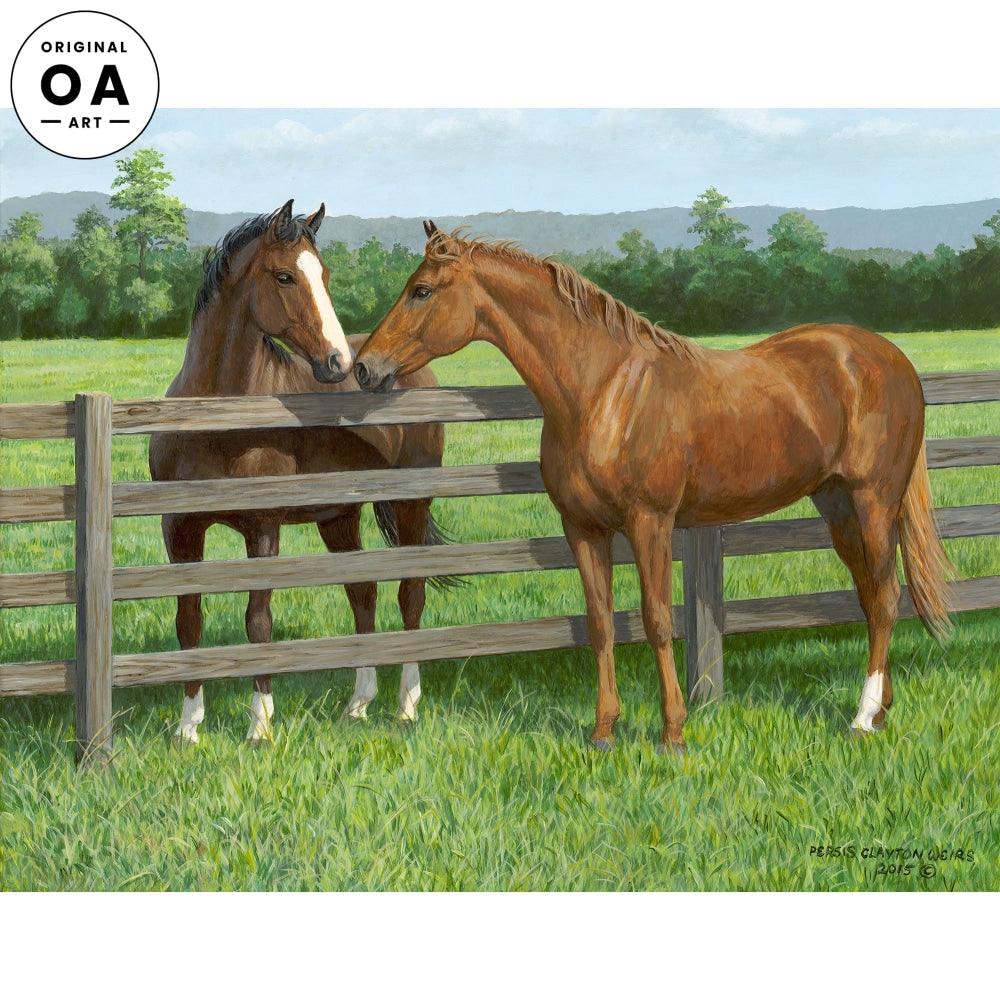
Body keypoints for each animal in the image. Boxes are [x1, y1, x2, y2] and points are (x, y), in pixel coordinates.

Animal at [149, 201, 452, 744]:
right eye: (285, 275)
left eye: (325, 274)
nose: (340, 362)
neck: (216, 418)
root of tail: (408, 370)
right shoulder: (179, 530)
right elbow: (189, 622)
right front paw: (188, 727)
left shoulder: (263, 529)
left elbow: (258, 621)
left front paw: (260, 724)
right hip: (339, 518)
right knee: (363, 594)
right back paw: (358, 704)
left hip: (411, 505)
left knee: (410, 595)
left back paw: (407, 705)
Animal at [353, 221, 953, 754]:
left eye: (422, 290)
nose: (363, 368)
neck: (605, 391)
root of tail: (891, 358)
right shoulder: (582, 529)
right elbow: (601, 624)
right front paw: (603, 732)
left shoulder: (651, 523)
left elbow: (659, 621)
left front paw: (673, 734)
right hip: (836, 505)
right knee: (871, 595)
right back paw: (881, 709)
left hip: (873, 501)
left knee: (885, 596)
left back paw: (861, 716)